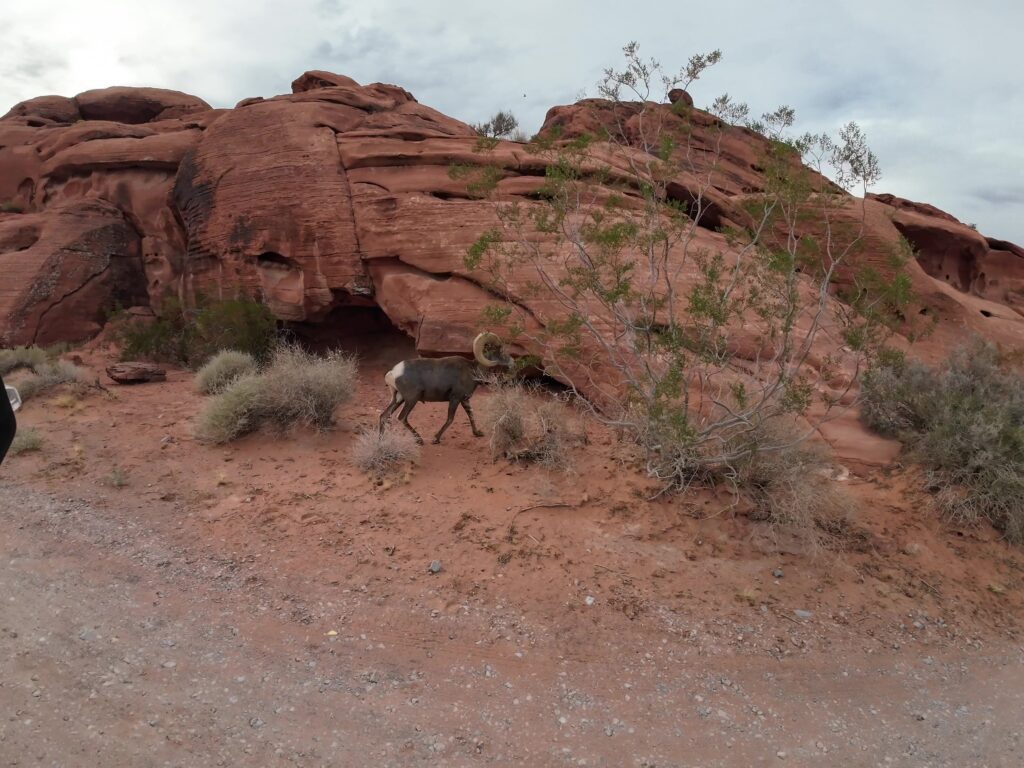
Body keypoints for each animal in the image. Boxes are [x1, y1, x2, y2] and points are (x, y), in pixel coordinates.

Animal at [380, 331, 512, 444]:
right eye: (498, 349)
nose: (511, 362)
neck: (472, 370)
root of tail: (393, 373)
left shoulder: (465, 400)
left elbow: (471, 415)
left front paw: (477, 433)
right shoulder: (455, 398)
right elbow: (450, 419)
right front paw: (436, 439)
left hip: (398, 398)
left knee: (384, 416)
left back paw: (381, 441)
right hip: (411, 400)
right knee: (402, 417)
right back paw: (420, 440)